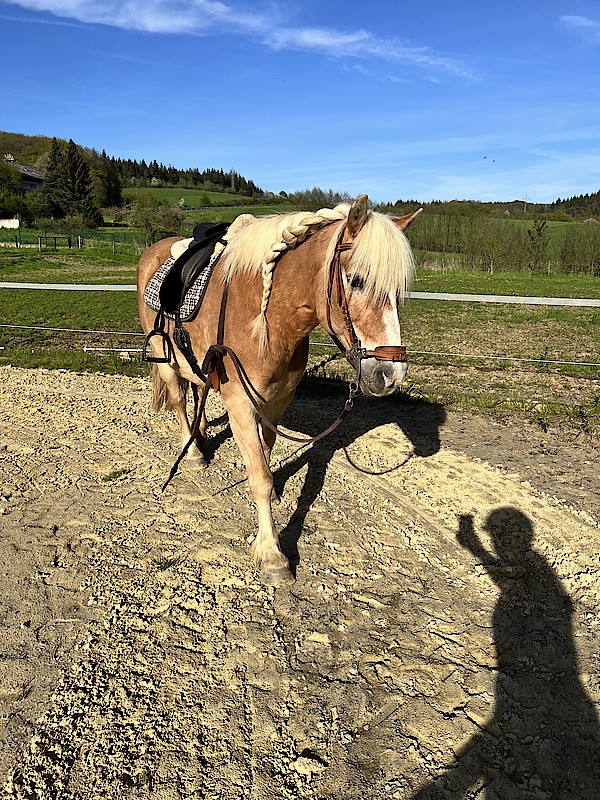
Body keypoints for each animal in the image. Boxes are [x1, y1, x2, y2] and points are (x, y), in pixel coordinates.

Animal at [137, 195, 421, 586]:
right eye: (357, 280)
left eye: (397, 292)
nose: (389, 375)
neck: (269, 320)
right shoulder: (240, 403)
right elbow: (260, 476)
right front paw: (272, 553)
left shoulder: (278, 401)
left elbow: (266, 457)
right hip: (164, 357)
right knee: (180, 400)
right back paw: (192, 452)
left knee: (198, 391)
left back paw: (203, 432)